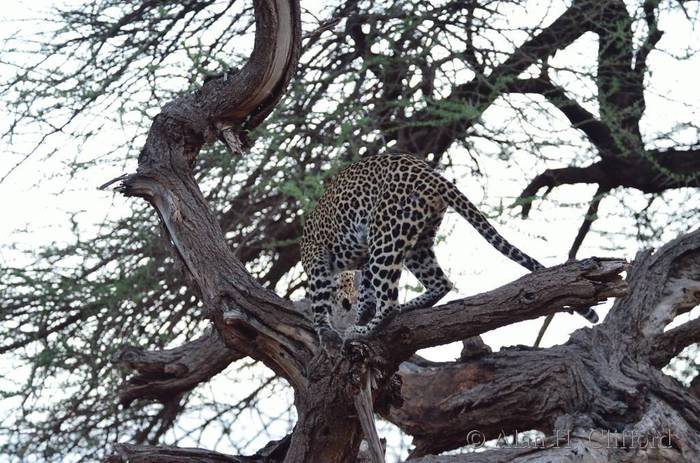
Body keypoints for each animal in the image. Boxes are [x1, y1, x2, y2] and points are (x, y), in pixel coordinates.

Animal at [301, 154, 598, 347]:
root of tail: (430, 173)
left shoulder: (316, 260)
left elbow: (319, 300)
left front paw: (326, 333)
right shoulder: (359, 263)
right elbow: (364, 290)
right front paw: (360, 312)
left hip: (385, 234)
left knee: (390, 303)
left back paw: (363, 331)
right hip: (414, 240)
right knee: (440, 282)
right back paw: (403, 309)